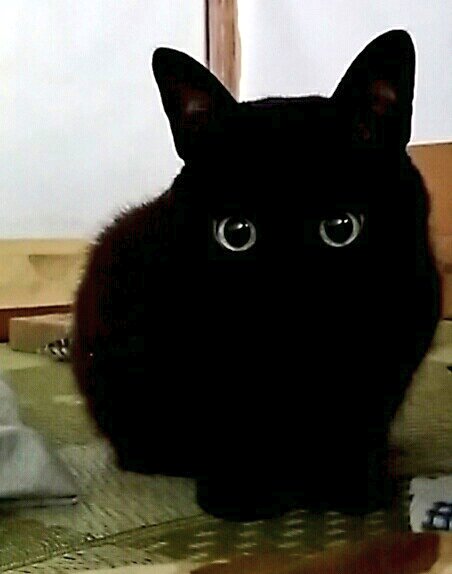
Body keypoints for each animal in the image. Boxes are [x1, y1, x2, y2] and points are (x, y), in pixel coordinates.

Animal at [73, 30, 441, 521]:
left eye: (341, 228)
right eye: (236, 234)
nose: (286, 290)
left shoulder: (391, 355)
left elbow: (355, 426)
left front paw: (353, 490)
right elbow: (230, 425)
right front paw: (241, 496)